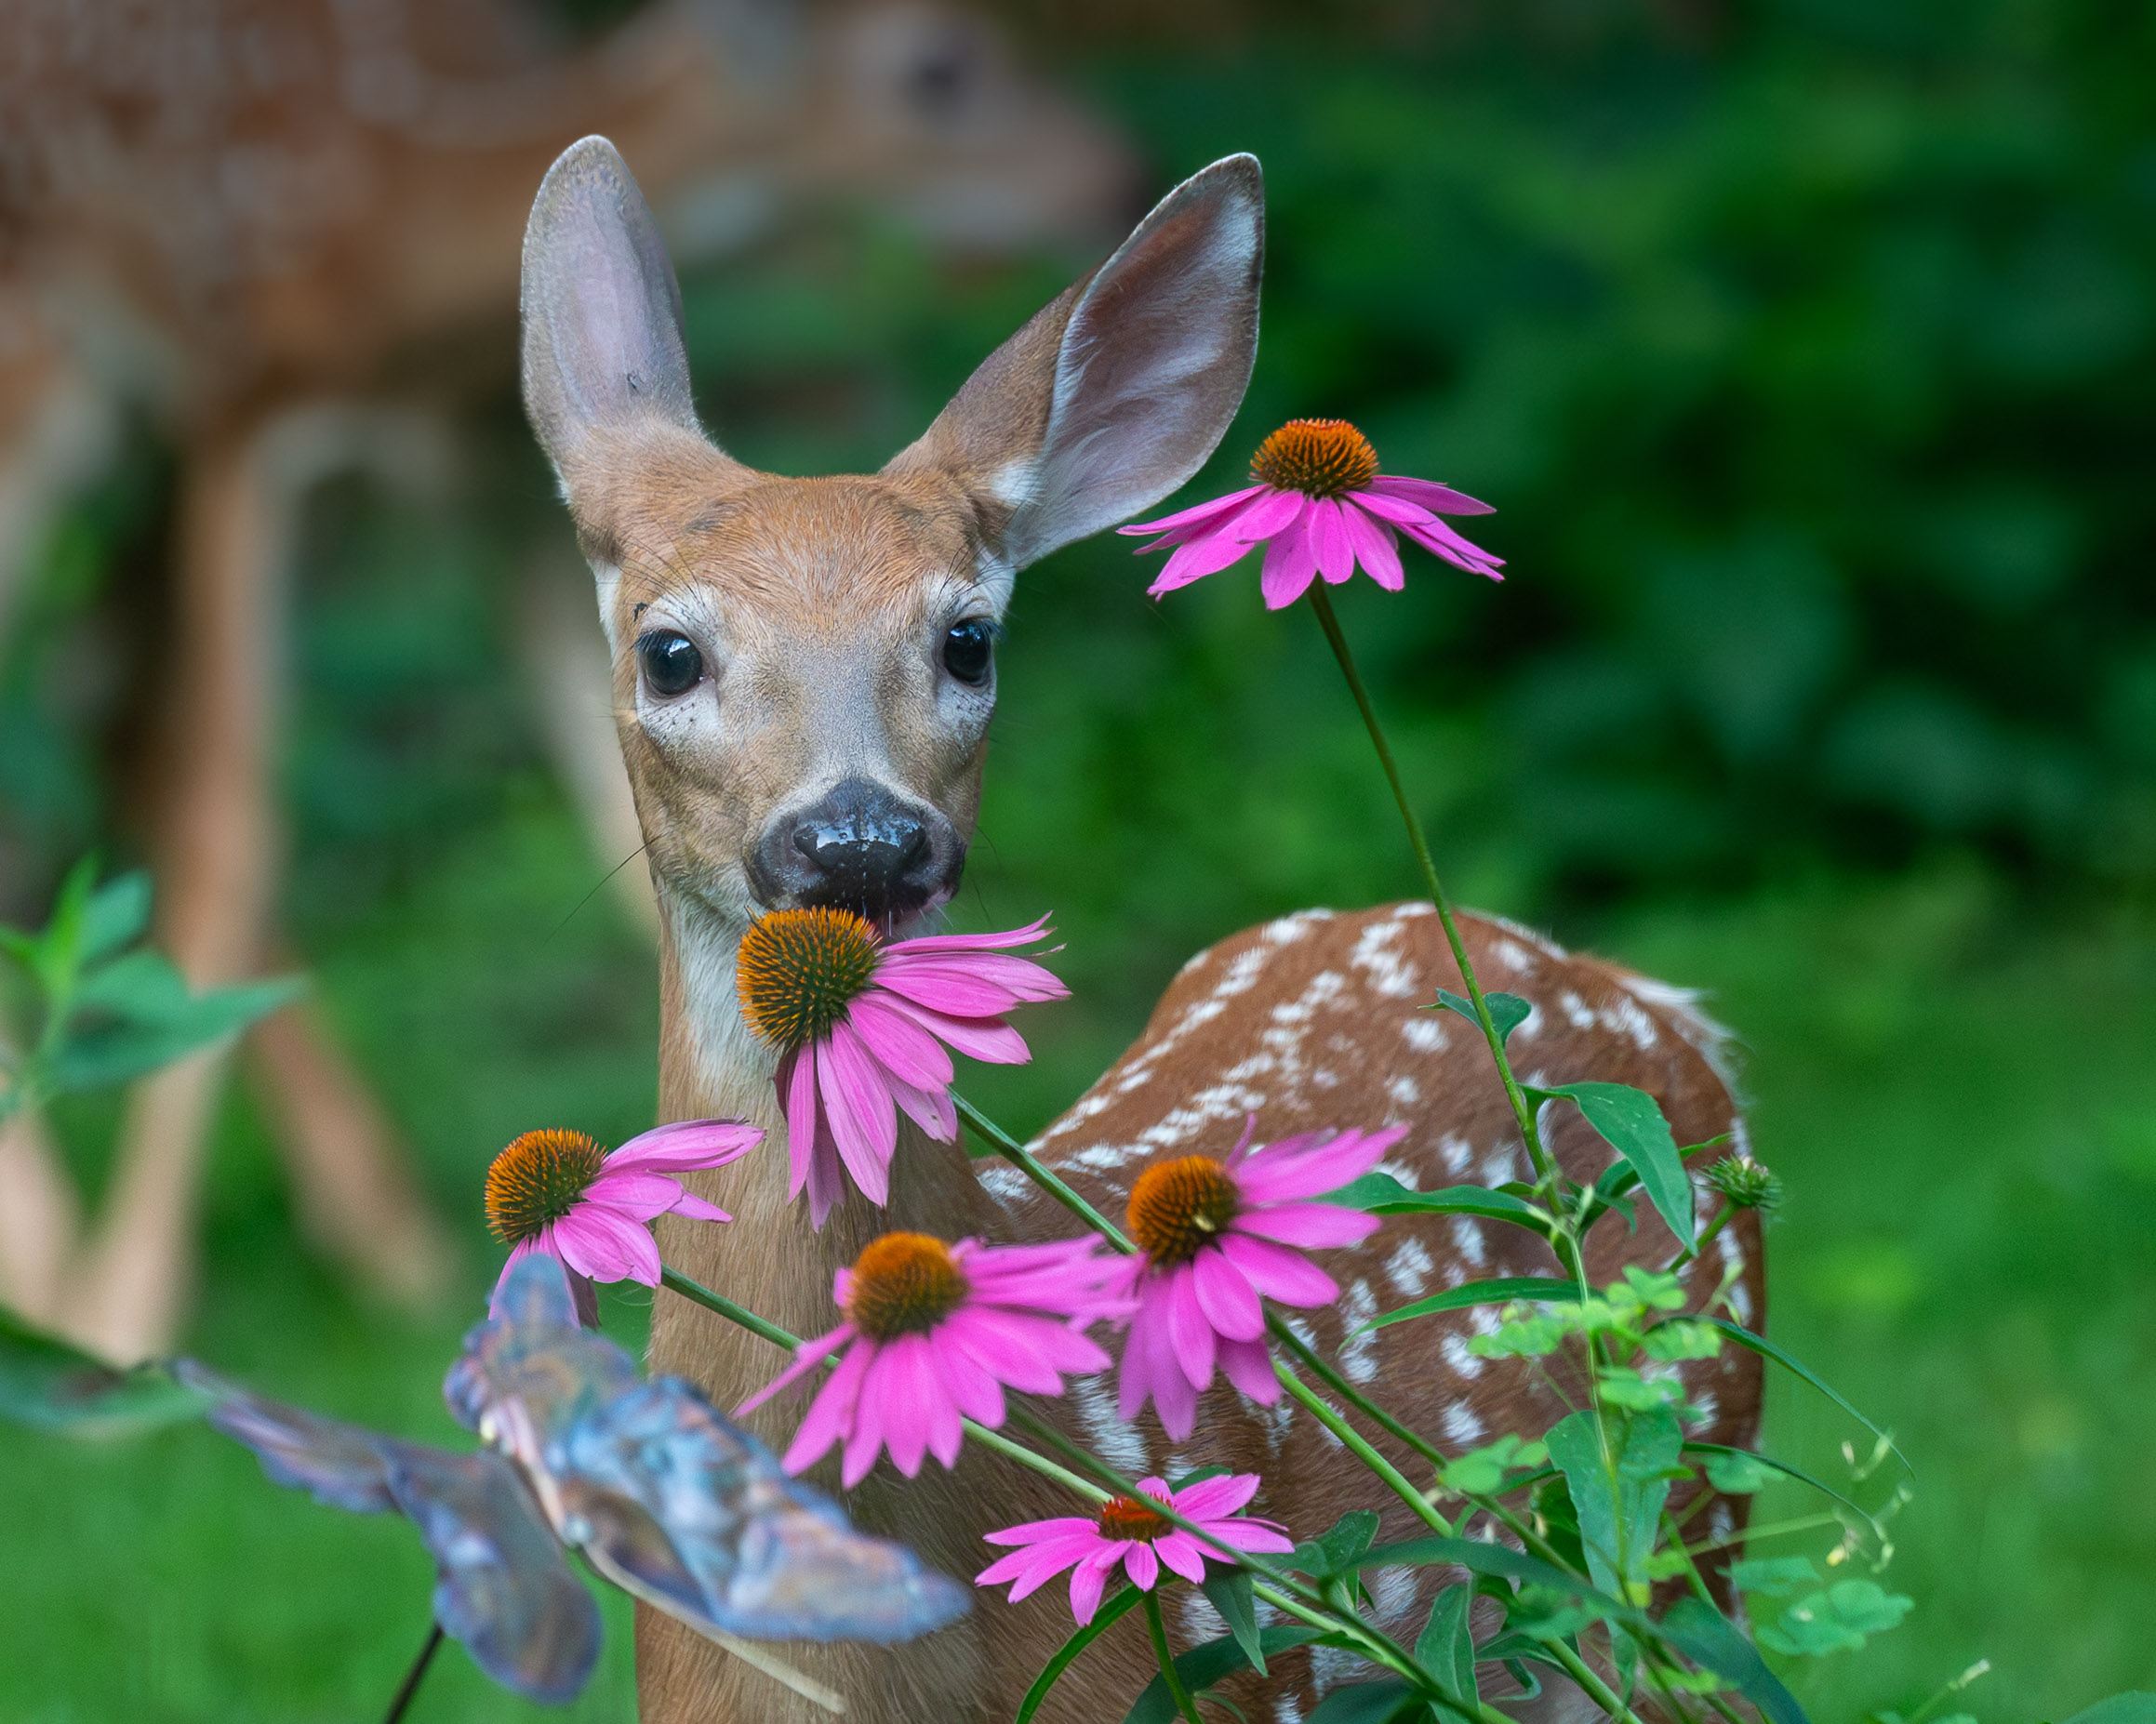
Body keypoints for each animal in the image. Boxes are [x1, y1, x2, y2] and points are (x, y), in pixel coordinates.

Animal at [0, 0, 1136, 1362]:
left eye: (967, 643)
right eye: (934, 69)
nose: (1106, 172)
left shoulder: (472, 449)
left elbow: (578, 774)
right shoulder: (238, 407)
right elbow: (234, 815)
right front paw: (125, 1303)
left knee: (108, 716)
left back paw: (368, 1226)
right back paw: (62, 1272)